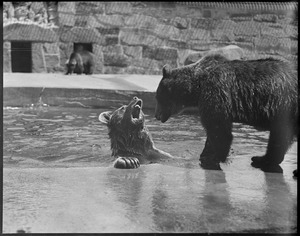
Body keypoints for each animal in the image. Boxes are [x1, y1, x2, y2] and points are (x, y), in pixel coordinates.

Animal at [155, 54, 298, 175]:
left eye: (158, 97)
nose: (156, 115)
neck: (196, 87)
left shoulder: (215, 92)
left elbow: (219, 129)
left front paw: (215, 157)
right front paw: (205, 153)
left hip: (286, 105)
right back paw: (262, 159)